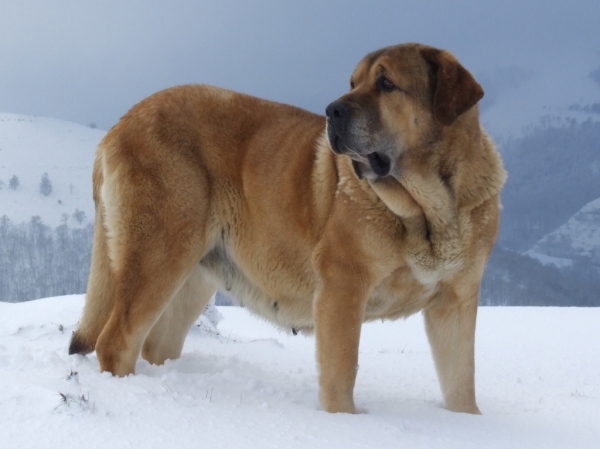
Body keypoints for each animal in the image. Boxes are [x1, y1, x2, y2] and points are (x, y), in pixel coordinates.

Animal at [70, 42, 506, 412]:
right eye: (353, 83)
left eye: (386, 84)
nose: (332, 110)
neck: (431, 208)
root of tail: (118, 126)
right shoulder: (343, 286)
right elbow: (342, 370)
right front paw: (345, 421)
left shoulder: (456, 300)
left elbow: (461, 381)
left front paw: (465, 422)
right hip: (160, 253)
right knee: (116, 342)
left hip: (194, 274)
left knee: (156, 345)